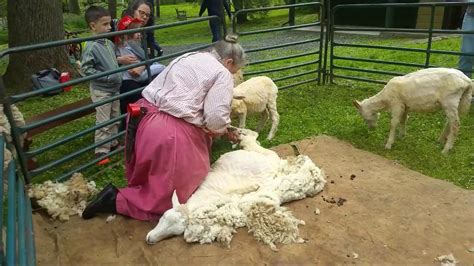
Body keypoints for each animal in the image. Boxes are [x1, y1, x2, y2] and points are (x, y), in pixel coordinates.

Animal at [146, 128, 328, 250]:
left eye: (176, 232)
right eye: (163, 217)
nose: (149, 240)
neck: (205, 196)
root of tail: (279, 166)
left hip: (265, 156)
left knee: (254, 140)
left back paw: (239, 132)